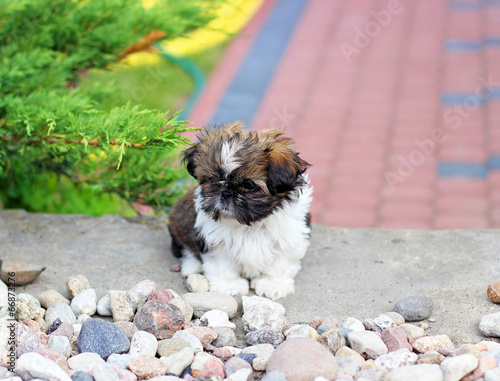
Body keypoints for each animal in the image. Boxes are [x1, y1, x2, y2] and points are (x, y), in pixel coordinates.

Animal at [170, 121, 314, 300]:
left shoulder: (290, 237)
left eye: (248, 185)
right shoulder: (215, 239)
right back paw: (191, 265)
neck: (251, 225)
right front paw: (229, 285)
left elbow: (280, 263)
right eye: (212, 179)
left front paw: (273, 283)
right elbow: (222, 263)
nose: (225, 193)